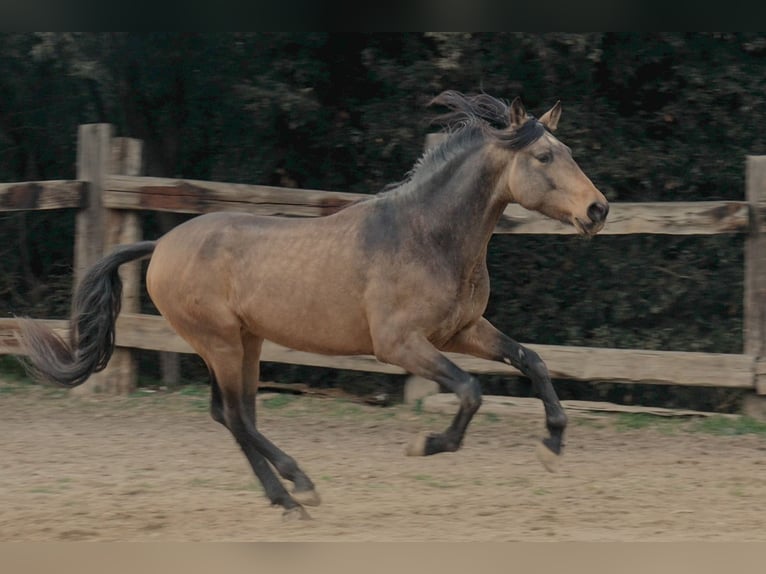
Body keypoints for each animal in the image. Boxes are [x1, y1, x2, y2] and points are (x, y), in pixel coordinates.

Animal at [18, 91, 609, 520]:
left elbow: (532, 360)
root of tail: (160, 245)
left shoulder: (461, 331)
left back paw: (286, 498)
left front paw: (552, 445)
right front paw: (426, 444)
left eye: (570, 152)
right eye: (544, 156)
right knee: (236, 415)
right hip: (219, 341)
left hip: (246, 342)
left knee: (231, 414)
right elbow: (470, 390)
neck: (427, 233)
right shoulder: (399, 345)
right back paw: (300, 486)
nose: (598, 210)